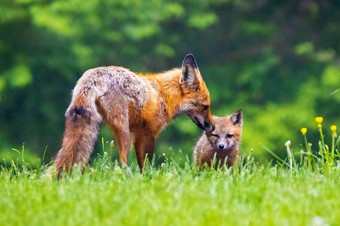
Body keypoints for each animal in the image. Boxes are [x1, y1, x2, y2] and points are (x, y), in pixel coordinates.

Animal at [54, 53, 214, 176]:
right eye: (205, 106)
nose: (212, 127)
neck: (163, 95)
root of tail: (93, 76)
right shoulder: (147, 133)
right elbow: (146, 164)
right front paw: (147, 180)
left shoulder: (138, 134)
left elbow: (141, 164)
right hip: (123, 131)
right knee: (123, 161)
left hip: (80, 125)